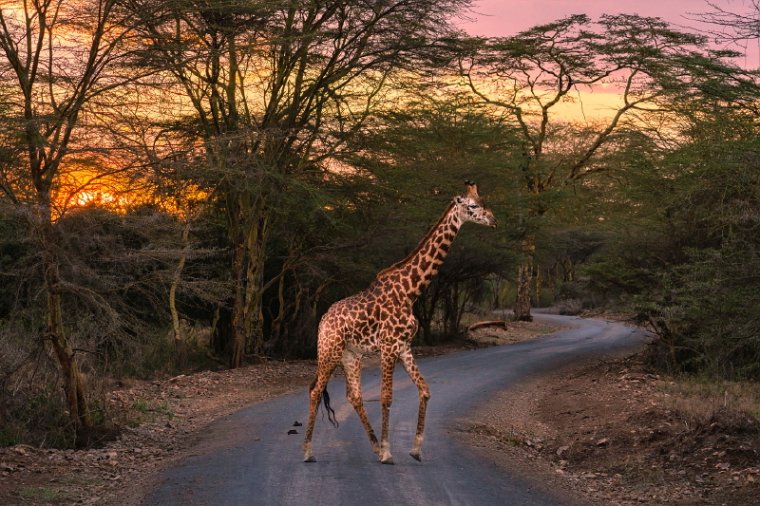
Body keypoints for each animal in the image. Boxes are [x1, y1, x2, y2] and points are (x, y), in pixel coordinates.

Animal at [302, 180, 498, 464]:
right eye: (472, 206)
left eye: (484, 202)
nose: (493, 220)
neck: (411, 291)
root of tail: (323, 320)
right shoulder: (388, 347)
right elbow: (386, 397)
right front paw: (388, 452)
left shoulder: (404, 347)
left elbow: (425, 390)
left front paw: (415, 450)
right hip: (329, 350)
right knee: (316, 391)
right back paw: (308, 451)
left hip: (351, 355)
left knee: (354, 396)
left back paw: (372, 446)